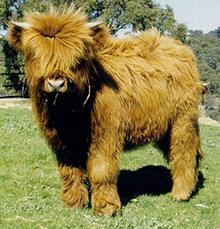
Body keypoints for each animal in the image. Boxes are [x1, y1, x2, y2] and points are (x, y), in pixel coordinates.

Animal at [7, 7, 205, 216]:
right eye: (35, 54)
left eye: (77, 59)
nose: (56, 83)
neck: (69, 113)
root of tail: (179, 48)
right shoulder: (63, 143)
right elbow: (70, 171)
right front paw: (73, 202)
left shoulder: (106, 136)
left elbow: (101, 170)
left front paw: (106, 208)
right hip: (163, 128)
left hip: (182, 122)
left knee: (184, 154)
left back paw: (181, 193)